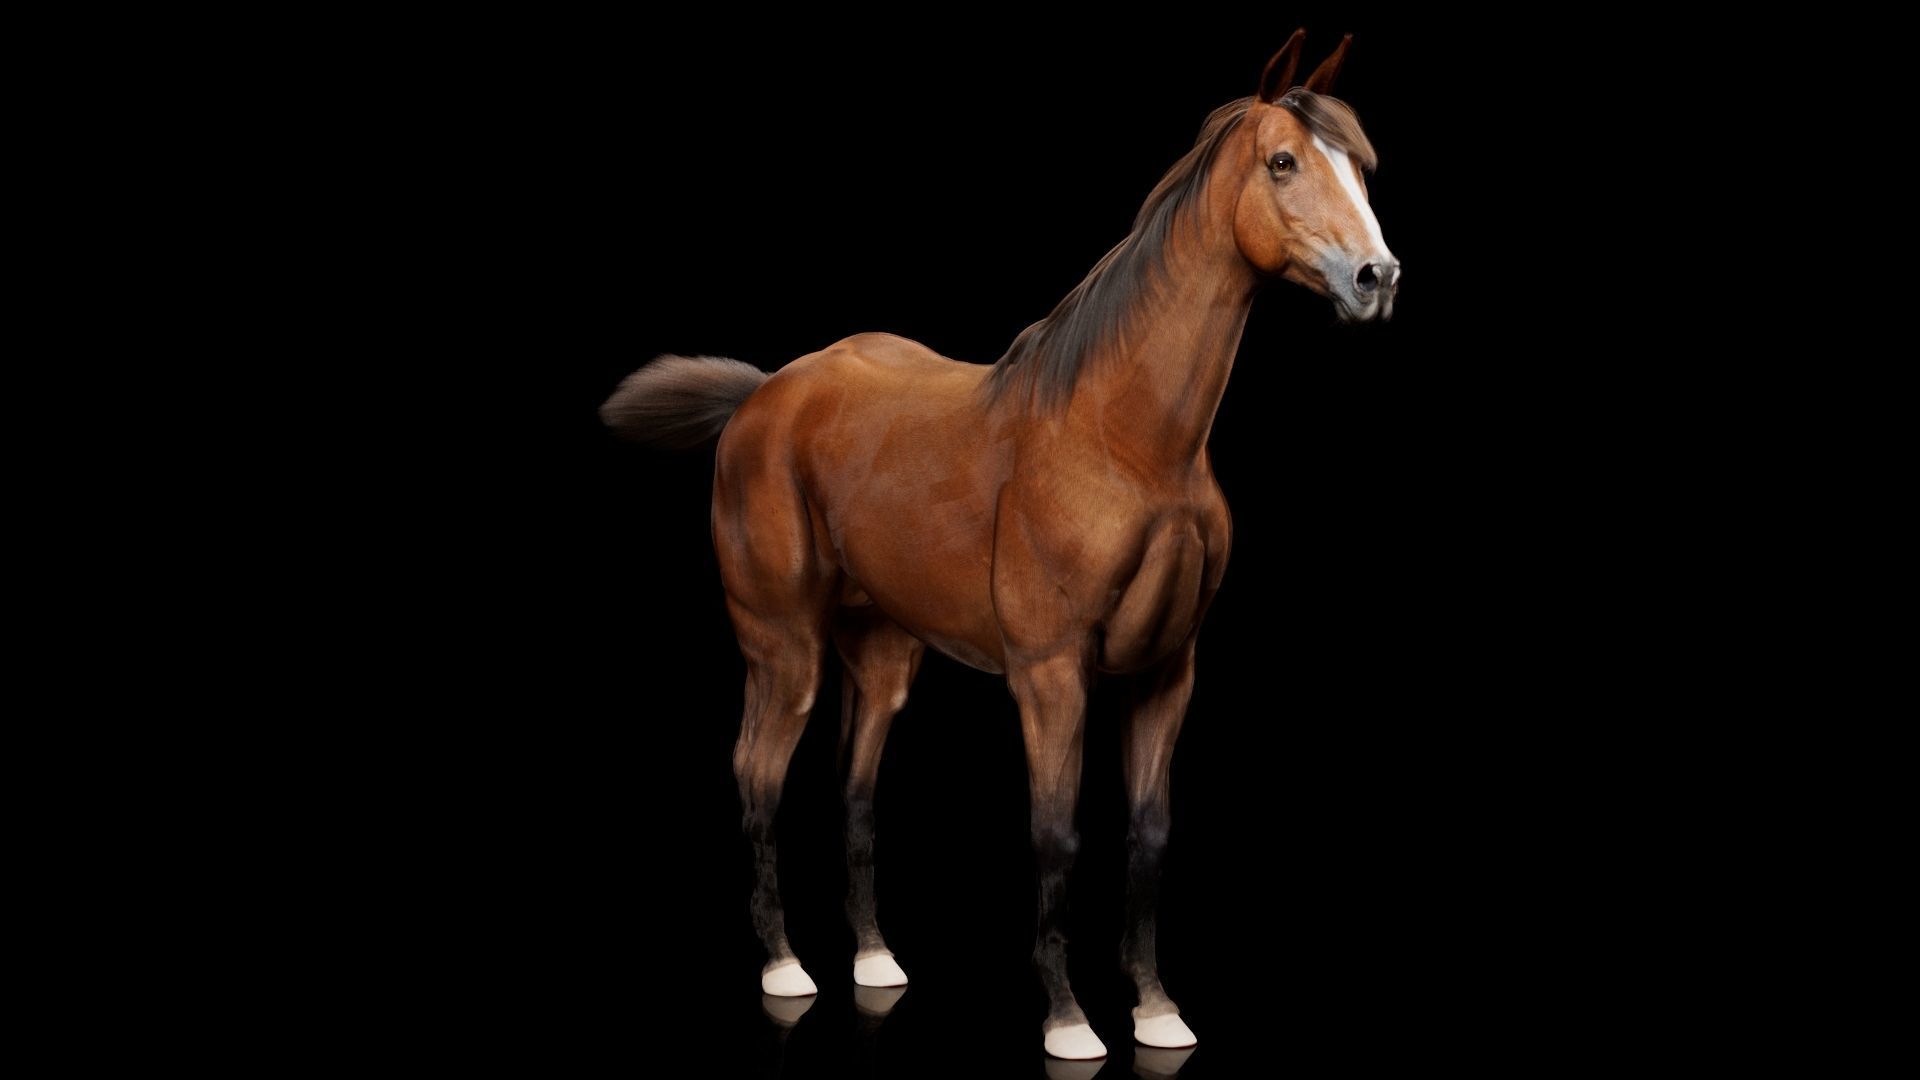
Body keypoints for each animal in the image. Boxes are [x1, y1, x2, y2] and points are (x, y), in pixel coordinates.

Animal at [602, 31, 1397, 1061]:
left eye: (1361, 165)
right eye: (1284, 162)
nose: (1376, 277)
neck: (1123, 440)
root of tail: (763, 396)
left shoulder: (1166, 672)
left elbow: (1150, 834)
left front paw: (1155, 1009)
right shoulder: (1050, 674)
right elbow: (1055, 836)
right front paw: (1068, 1021)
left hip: (882, 656)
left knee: (856, 791)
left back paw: (874, 961)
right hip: (785, 650)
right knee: (756, 776)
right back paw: (784, 967)